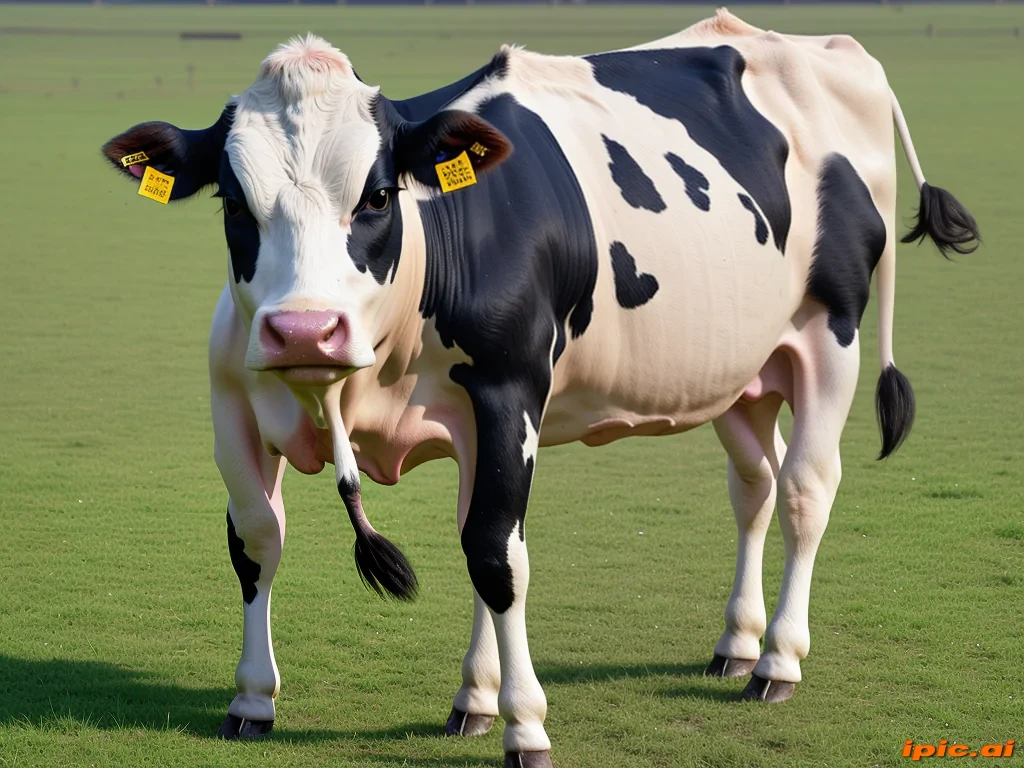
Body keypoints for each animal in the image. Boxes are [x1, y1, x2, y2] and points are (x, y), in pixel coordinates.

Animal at [101, 10, 979, 766]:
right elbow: (259, 541)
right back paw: (736, 644)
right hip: (740, 372)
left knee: (805, 488)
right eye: (233, 200)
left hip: (832, 333)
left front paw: (524, 725)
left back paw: (778, 663)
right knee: (754, 487)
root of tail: (832, 48)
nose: (305, 331)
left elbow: (494, 554)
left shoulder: (507, 394)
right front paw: (259, 700)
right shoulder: (237, 407)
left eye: (379, 195)